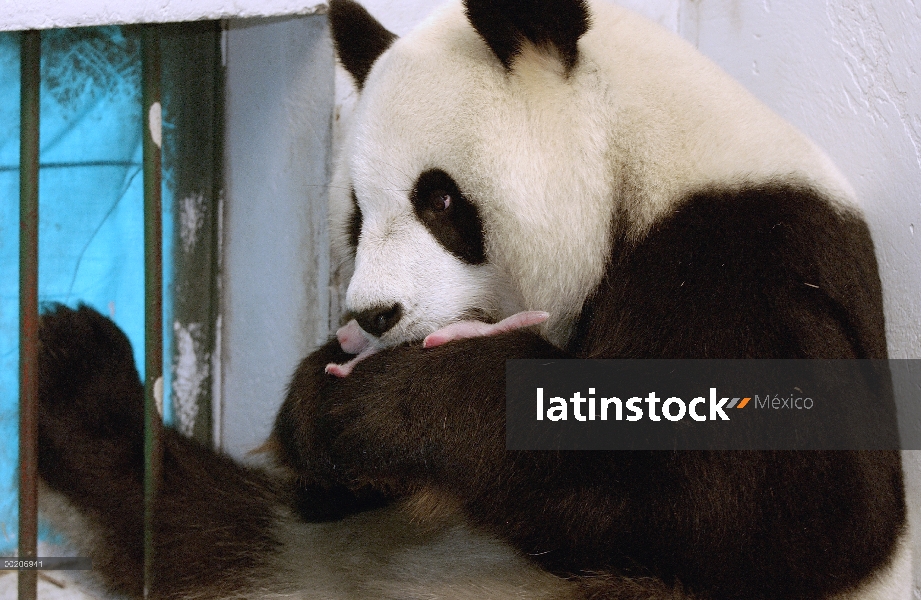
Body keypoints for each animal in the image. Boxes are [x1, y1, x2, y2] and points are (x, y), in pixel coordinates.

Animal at [34, 1, 904, 600]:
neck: (636, 158)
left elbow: (775, 508)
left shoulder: (746, 257)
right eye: (356, 213)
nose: (372, 317)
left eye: (440, 200)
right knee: (210, 522)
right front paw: (317, 404)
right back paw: (77, 378)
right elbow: (323, 486)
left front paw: (398, 406)